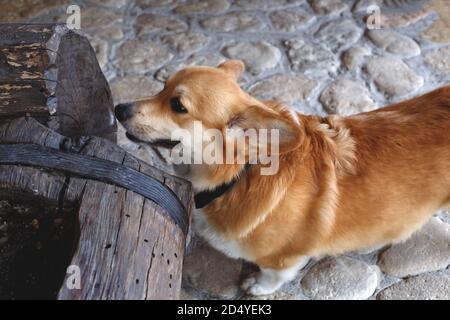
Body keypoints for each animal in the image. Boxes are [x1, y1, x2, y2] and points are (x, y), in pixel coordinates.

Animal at [116, 60, 450, 298]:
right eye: (162, 87)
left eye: (178, 106)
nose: (118, 108)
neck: (240, 174)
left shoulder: (283, 259)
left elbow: (272, 276)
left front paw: (257, 287)